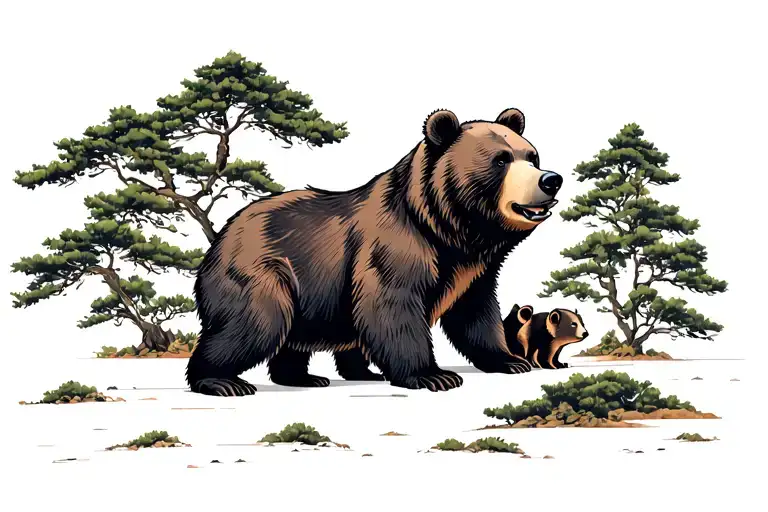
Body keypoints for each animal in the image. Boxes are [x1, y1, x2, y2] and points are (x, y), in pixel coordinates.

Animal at [186, 107, 564, 396]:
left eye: (531, 156)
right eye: (500, 160)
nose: (550, 179)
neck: (450, 230)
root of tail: (219, 239)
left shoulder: (473, 270)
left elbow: (476, 313)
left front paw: (511, 360)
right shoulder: (396, 245)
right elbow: (392, 305)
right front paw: (433, 375)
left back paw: (309, 376)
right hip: (265, 271)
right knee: (255, 322)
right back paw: (221, 381)